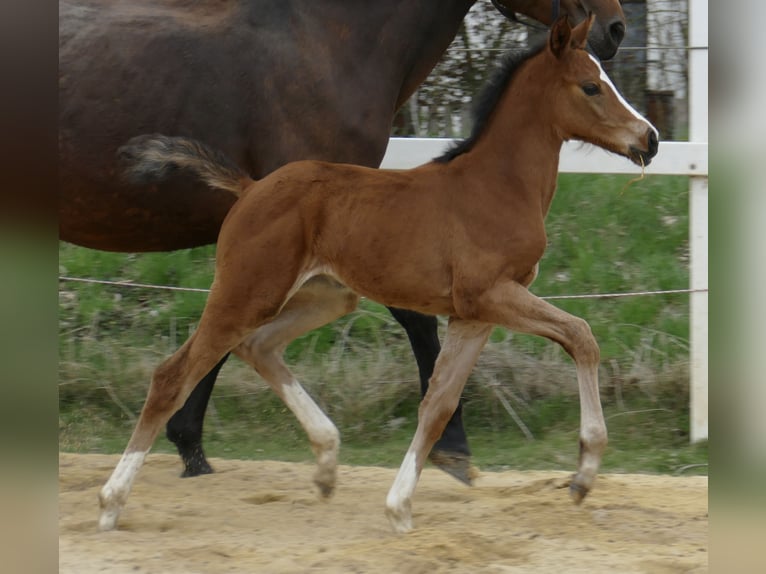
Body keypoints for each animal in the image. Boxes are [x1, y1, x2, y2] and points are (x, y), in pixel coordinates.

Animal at [98, 15, 659, 533]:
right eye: (591, 86)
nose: (649, 139)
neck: (497, 186)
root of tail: (250, 187)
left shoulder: (474, 314)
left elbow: (438, 403)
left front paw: (400, 507)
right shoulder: (490, 295)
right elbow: (580, 336)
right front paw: (583, 473)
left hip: (325, 296)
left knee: (257, 347)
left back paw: (326, 462)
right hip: (246, 291)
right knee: (173, 375)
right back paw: (111, 503)